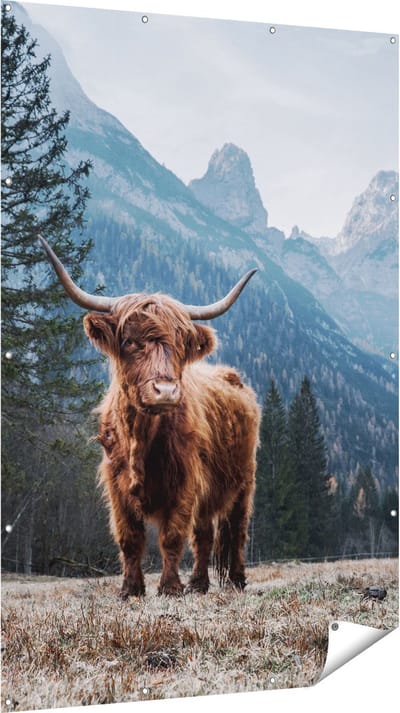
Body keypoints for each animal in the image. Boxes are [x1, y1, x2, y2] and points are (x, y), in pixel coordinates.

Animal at [39, 235, 260, 598]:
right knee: (204, 535)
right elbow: (130, 538)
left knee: (236, 531)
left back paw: (236, 580)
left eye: (181, 345)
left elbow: (171, 537)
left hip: (244, 481)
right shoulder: (116, 486)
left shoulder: (185, 482)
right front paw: (131, 589)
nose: (166, 391)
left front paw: (169, 588)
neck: (140, 438)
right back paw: (198, 584)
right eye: (130, 342)